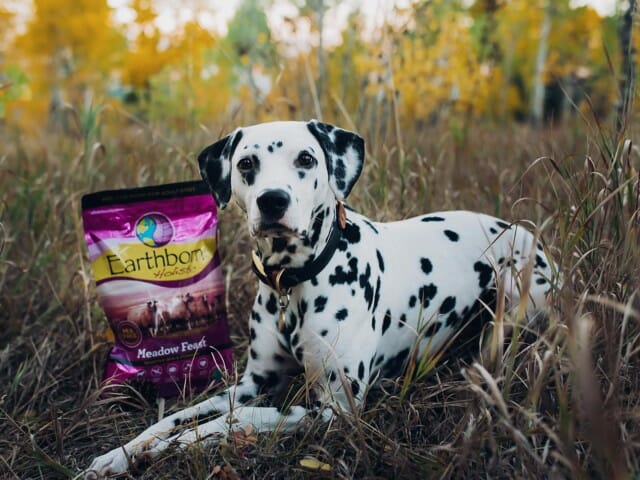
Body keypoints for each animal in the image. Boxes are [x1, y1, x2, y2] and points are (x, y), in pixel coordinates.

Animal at [85, 119, 556, 476]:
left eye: (306, 159)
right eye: (247, 163)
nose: (273, 201)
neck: (292, 282)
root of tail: (522, 230)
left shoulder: (334, 410)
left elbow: (235, 420)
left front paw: (181, 443)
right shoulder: (253, 382)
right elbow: (174, 416)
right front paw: (120, 454)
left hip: (514, 311)